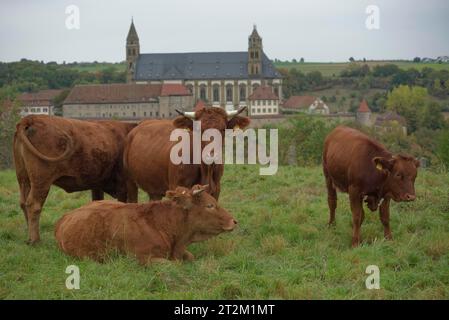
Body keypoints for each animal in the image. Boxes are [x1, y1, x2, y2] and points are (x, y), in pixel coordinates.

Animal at [13, 116, 136, 244]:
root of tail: (31, 118)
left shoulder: (97, 186)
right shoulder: (123, 185)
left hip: (23, 179)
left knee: (23, 202)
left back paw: (29, 237)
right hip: (41, 181)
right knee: (34, 205)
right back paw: (35, 240)